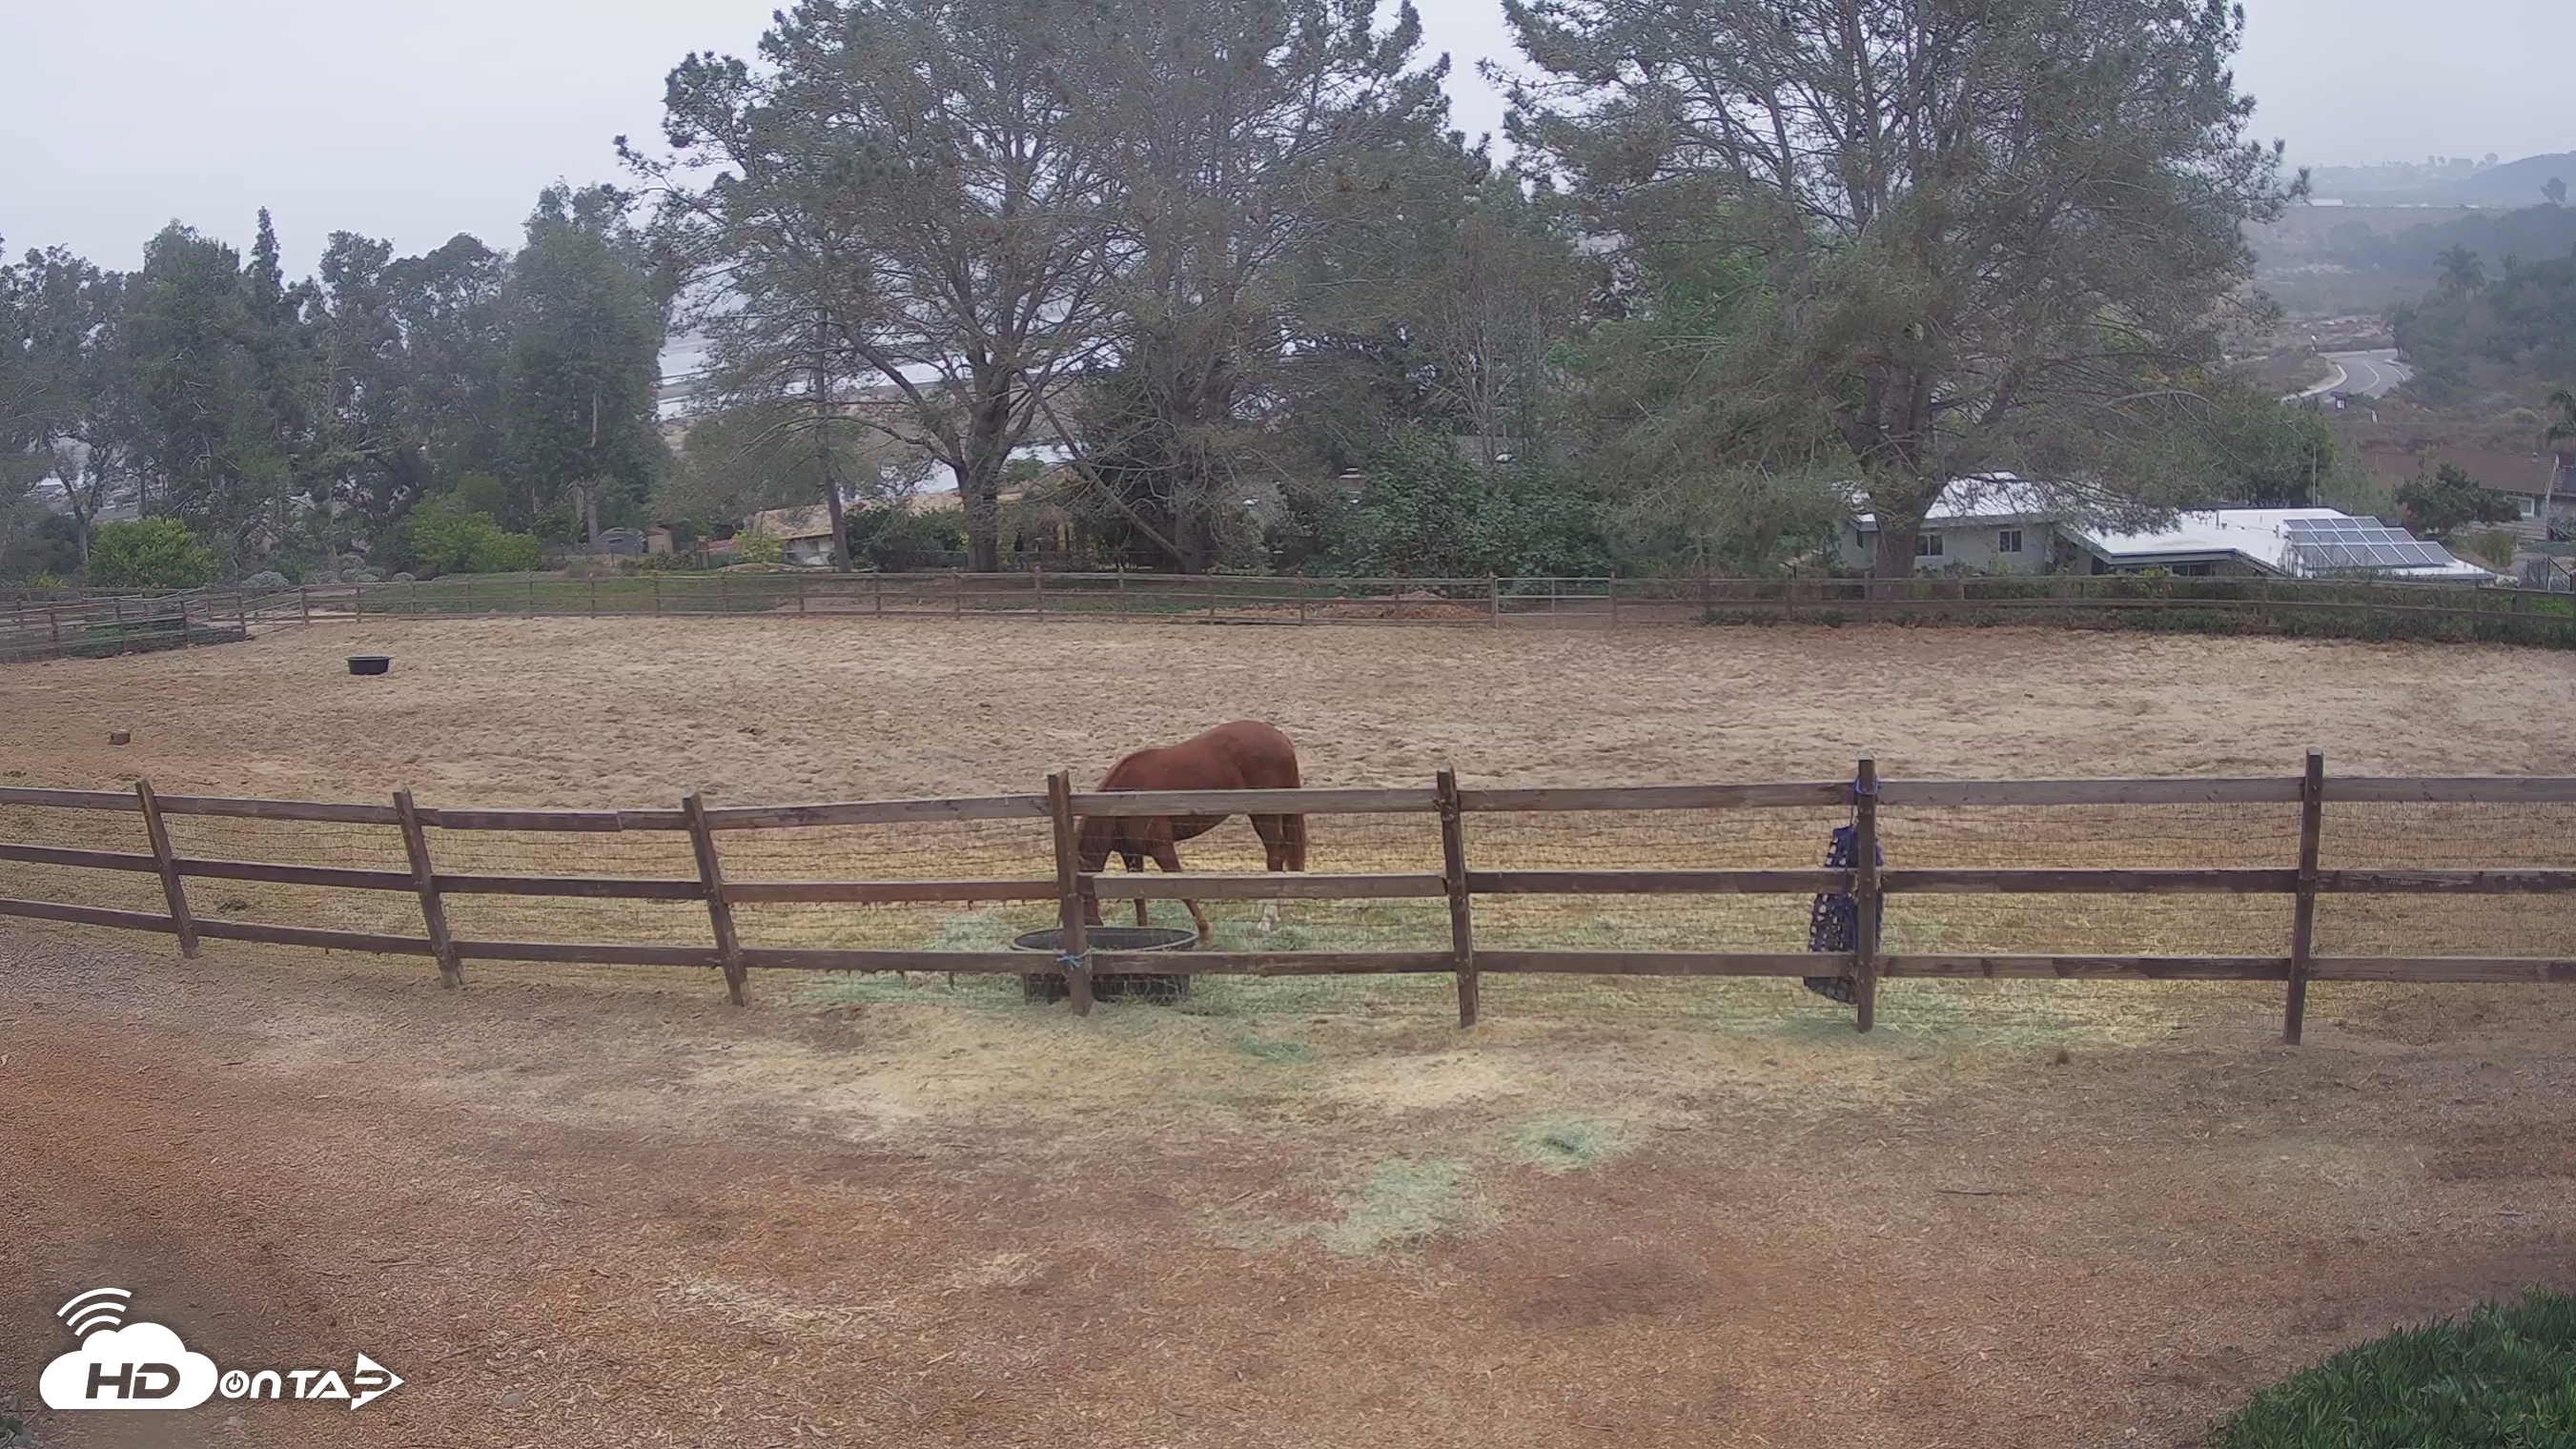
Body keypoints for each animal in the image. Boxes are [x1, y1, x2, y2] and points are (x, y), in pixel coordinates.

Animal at [1075, 720, 1308, 944]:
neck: (1123, 800)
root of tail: (1280, 739)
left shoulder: (1162, 847)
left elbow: (1180, 887)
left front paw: (1204, 932)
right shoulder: (1131, 854)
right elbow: (1138, 895)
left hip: (1265, 816)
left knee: (1275, 857)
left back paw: (1265, 922)